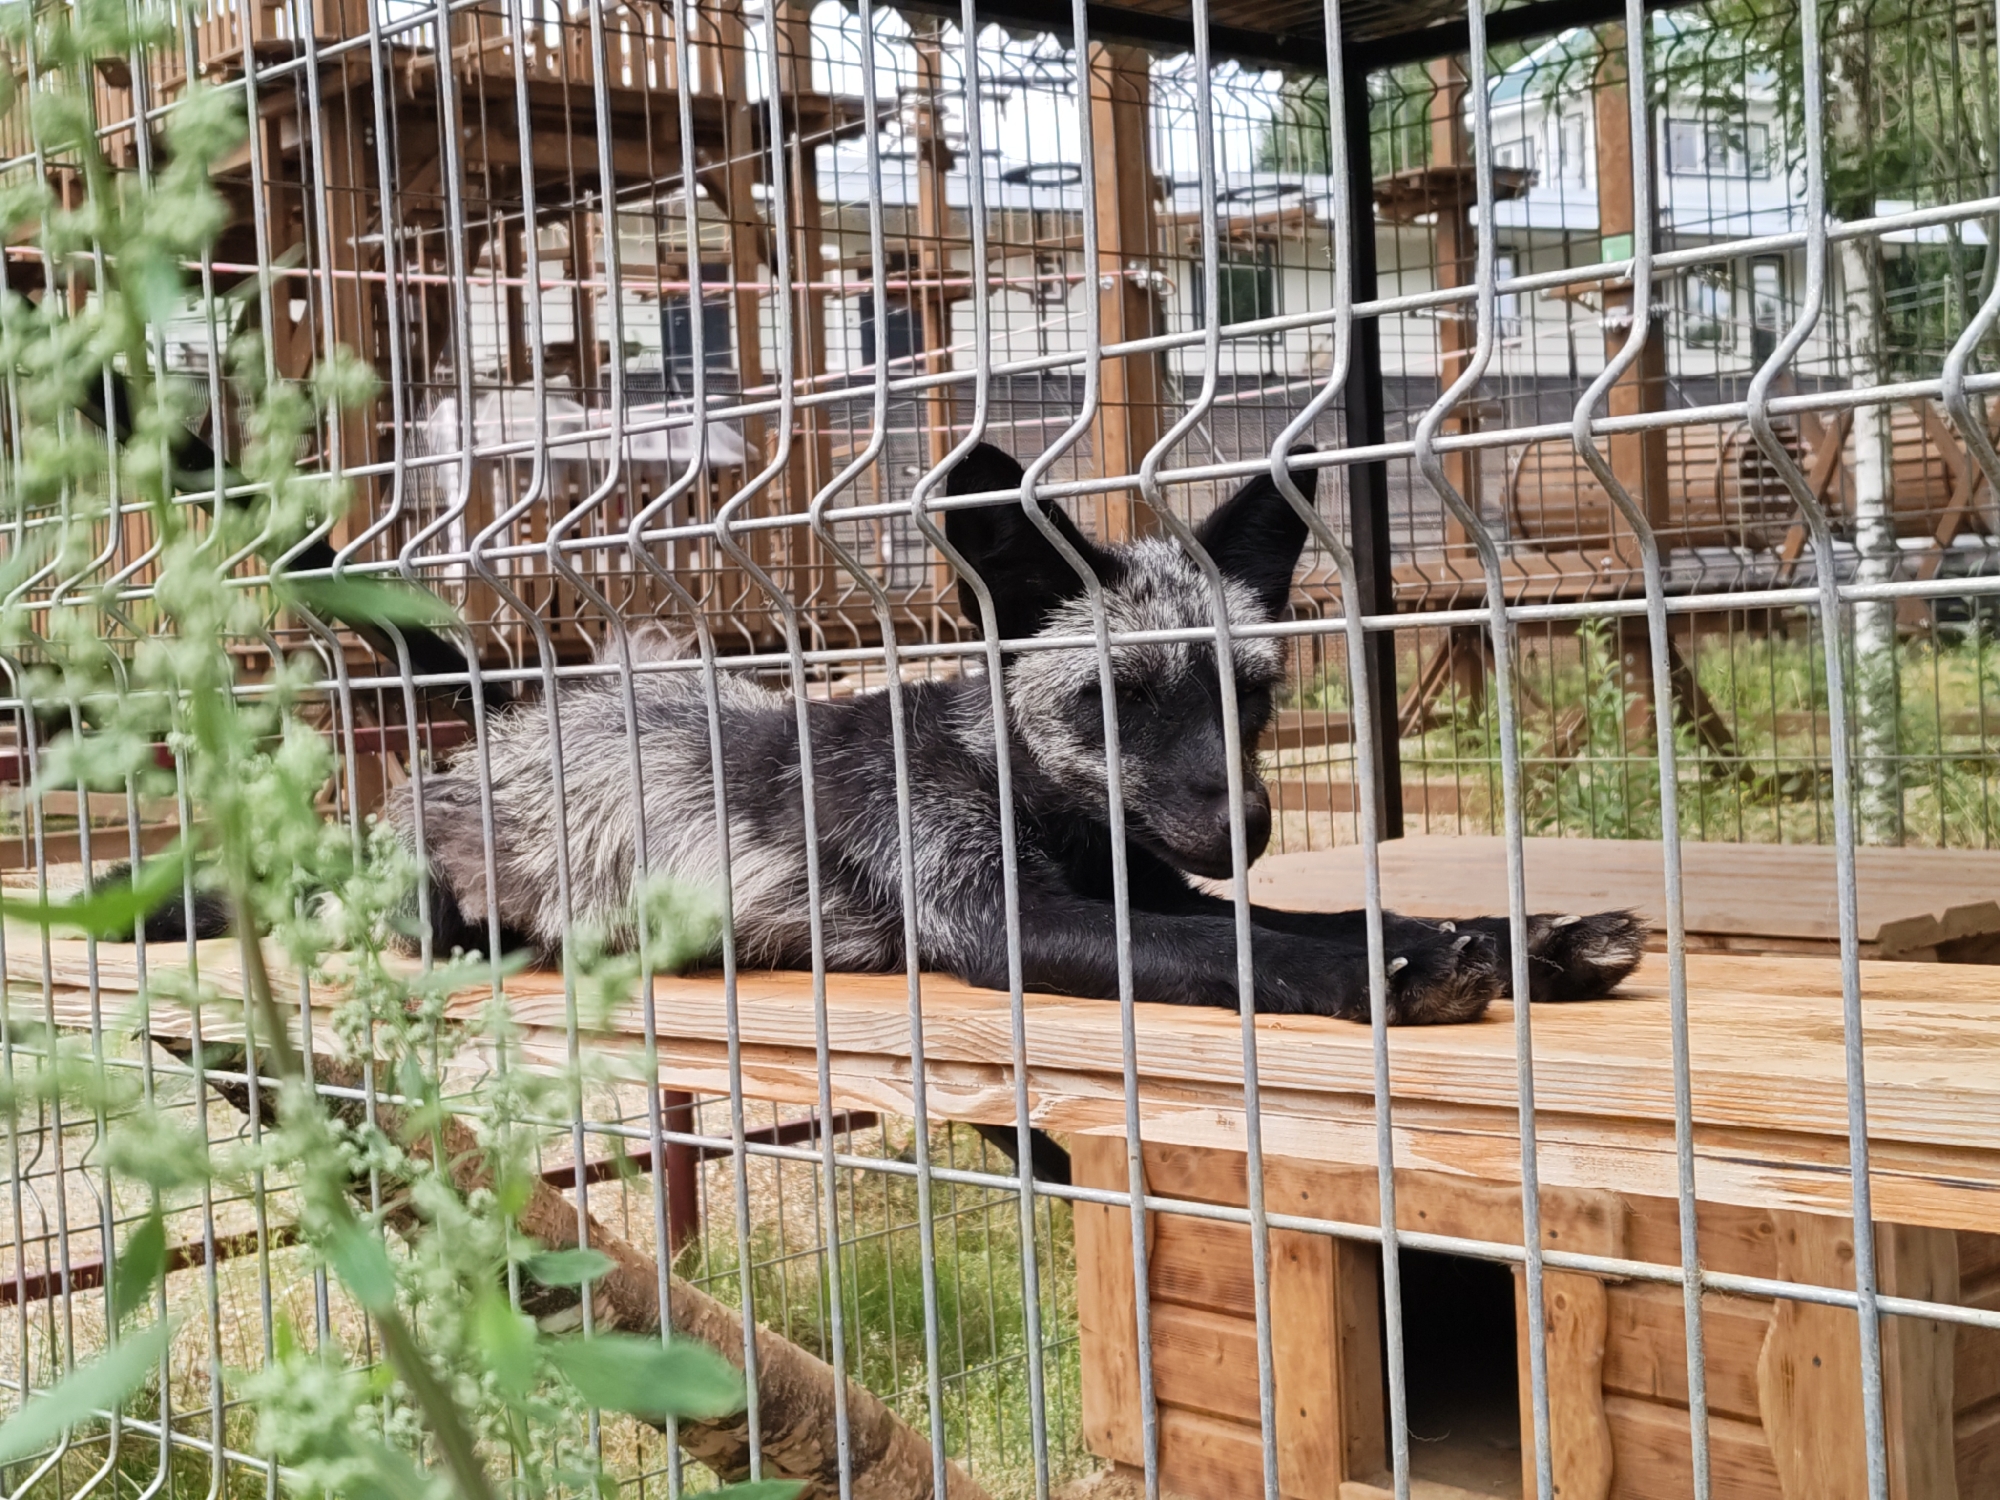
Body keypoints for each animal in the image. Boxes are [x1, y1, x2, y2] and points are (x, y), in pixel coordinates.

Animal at [389, 442, 1645, 1026]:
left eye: (1250, 697)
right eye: (1116, 700)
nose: (1246, 823)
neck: (1012, 789)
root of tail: (513, 723)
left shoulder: (1160, 885)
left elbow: (1315, 911)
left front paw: (1521, 936)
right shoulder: (995, 919)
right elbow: (1249, 946)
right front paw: (1401, 969)